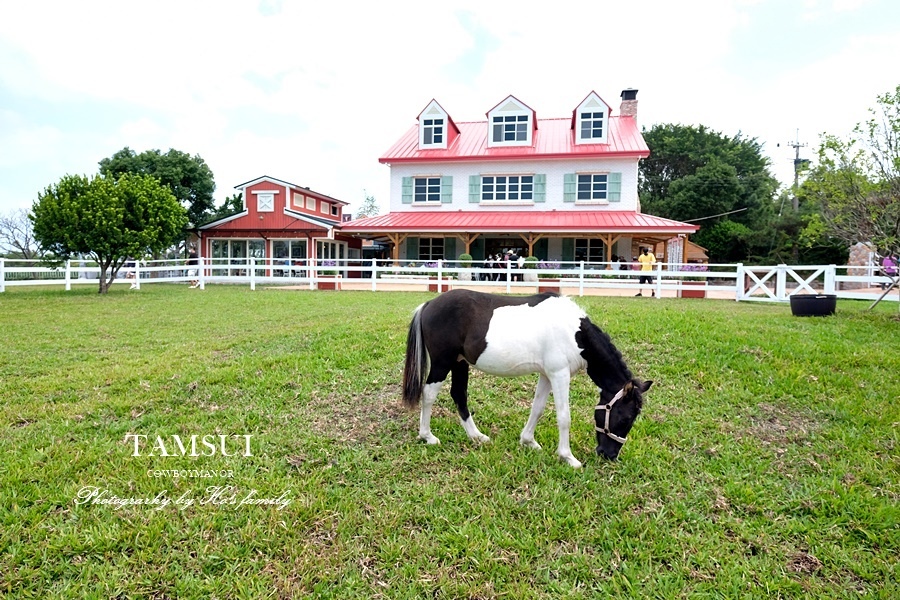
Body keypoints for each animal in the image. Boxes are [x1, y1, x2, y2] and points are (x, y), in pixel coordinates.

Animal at [402, 288, 652, 466]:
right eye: (626, 418)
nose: (608, 455)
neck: (574, 333)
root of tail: (428, 305)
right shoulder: (559, 374)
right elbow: (564, 416)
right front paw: (568, 457)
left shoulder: (546, 375)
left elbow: (537, 408)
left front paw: (528, 441)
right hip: (443, 362)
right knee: (429, 393)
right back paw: (427, 436)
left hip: (460, 362)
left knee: (459, 395)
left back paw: (477, 437)